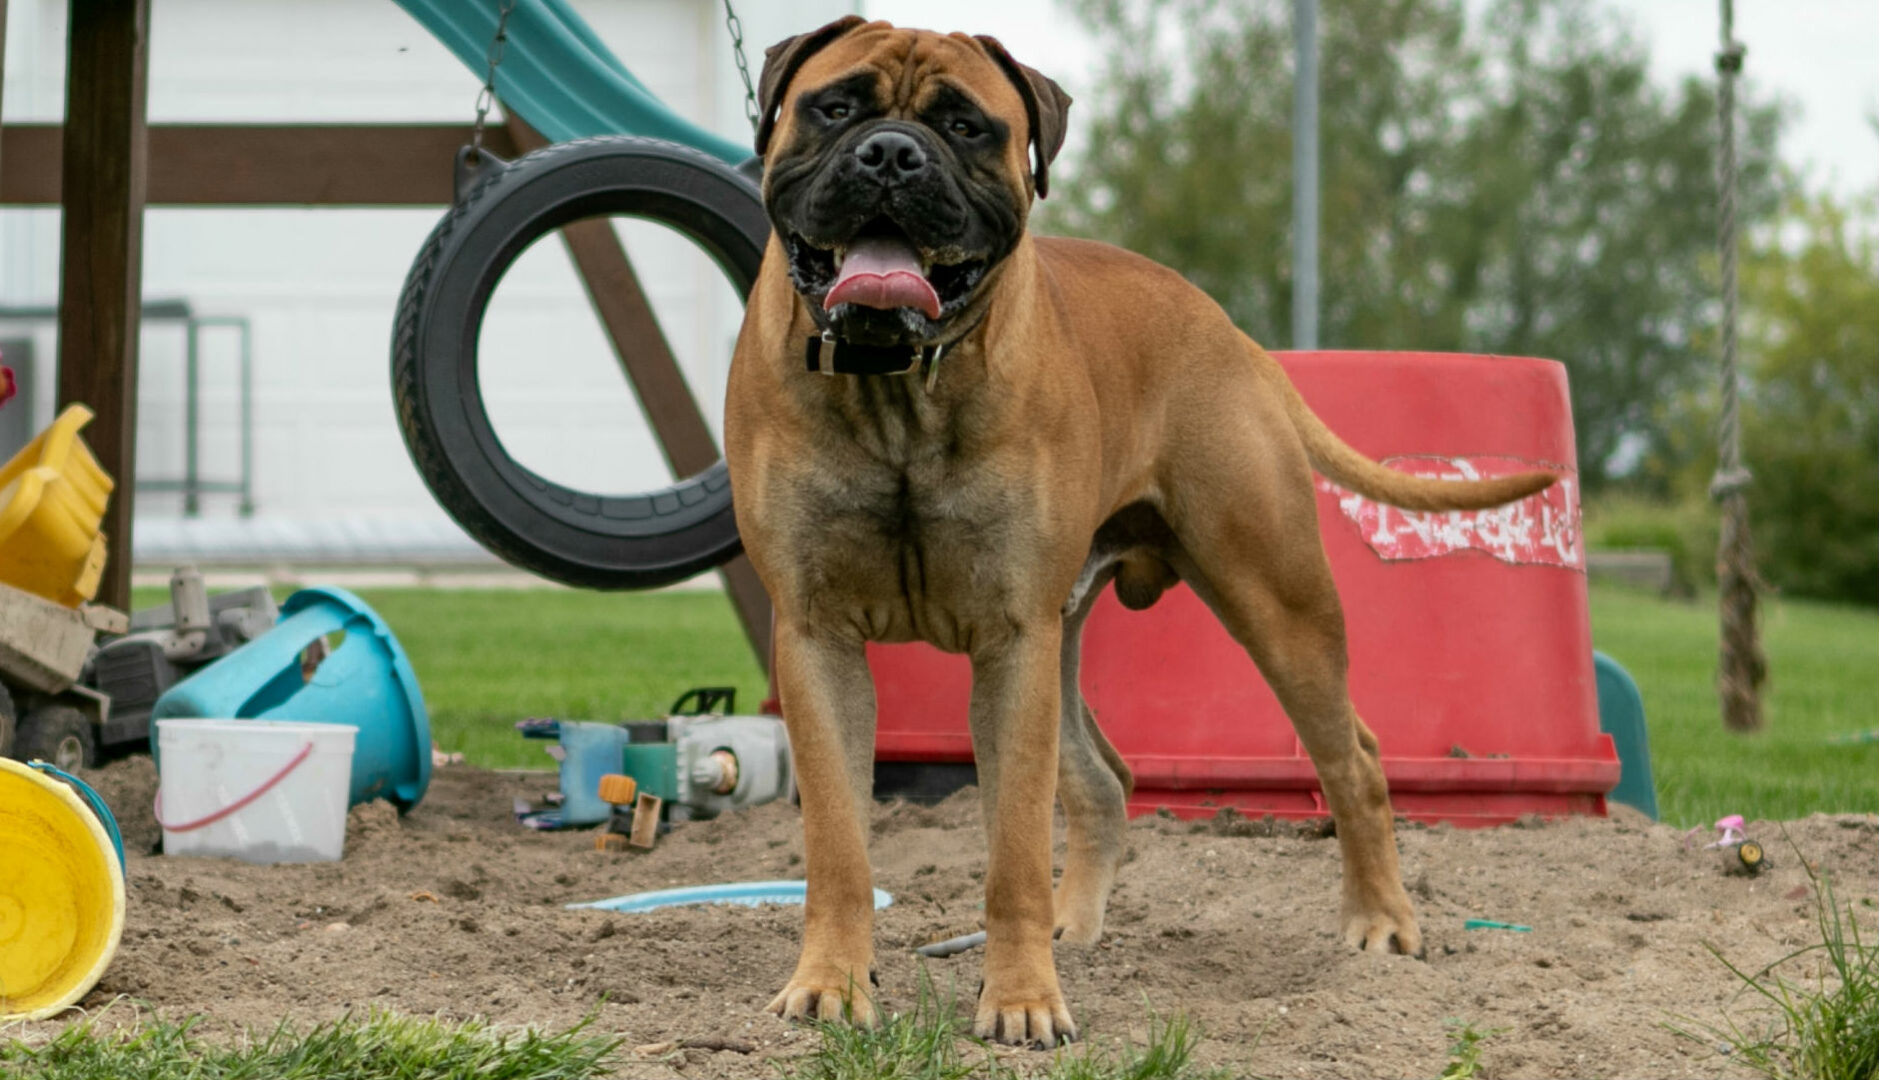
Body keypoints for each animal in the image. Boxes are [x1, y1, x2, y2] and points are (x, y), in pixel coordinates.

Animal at [721, 14, 1555, 1051]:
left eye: (964, 126)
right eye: (835, 108)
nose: (891, 154)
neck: (897, 386)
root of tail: (1234, 333)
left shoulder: (1012, 642)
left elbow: (1010, 853)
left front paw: (1020, 1001)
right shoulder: (820, 638)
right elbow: (838, 842)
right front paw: (832, 986)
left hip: (1272, 600)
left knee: (1352, 762)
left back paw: (1379, 925)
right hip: (1071, 640)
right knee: (1105, 779)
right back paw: (1074, 929)